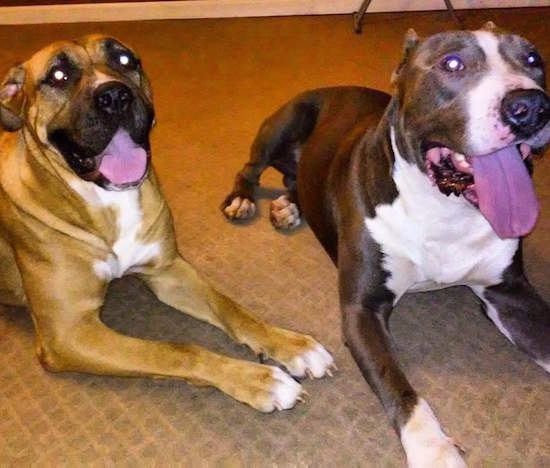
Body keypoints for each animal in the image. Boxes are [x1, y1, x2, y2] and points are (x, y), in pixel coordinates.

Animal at [0, 36, 336, 414]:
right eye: (58, 75)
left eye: (124, 59)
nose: (115, 96)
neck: (107, 201)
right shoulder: (68, 332)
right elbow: (177, 351)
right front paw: (260, 379)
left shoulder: (168, 270)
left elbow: (231, 308)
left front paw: (291, 345)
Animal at [223, 23, 550, 466]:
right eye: (452, 64)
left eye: (533, 59)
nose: (530, 107)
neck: (445, 209)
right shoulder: (362, 310)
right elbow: (399, 385)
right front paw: (433, 448)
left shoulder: (509, 293)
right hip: (285, 123)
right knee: (251, 167)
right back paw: (242, 199)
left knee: (295, 179)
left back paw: (290, 205)